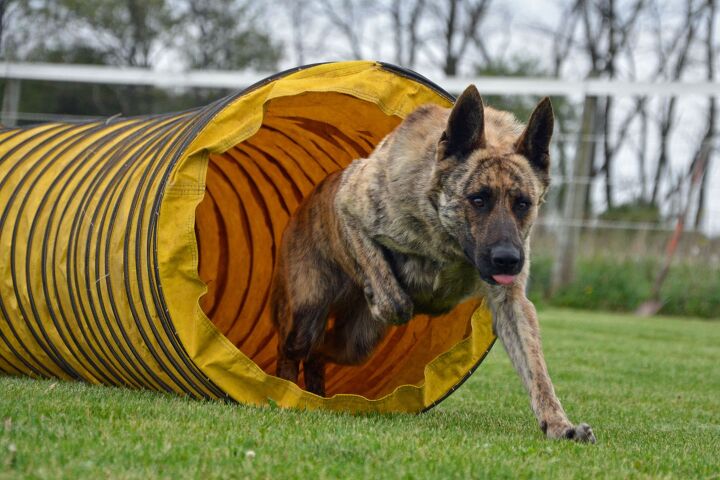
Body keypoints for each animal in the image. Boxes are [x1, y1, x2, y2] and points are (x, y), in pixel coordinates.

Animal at [270, 85, 596, 442]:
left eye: (523, 203)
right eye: (478, 199)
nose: (508, 261)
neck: (447, 239)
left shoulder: (512, 304)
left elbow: (537, 370)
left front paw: (558, 423)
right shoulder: (350, 207)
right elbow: (393, 296)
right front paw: (386, 293)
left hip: (356, 343)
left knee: (318, 353)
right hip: (309, 314)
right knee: (294, 351)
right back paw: (283, 391)